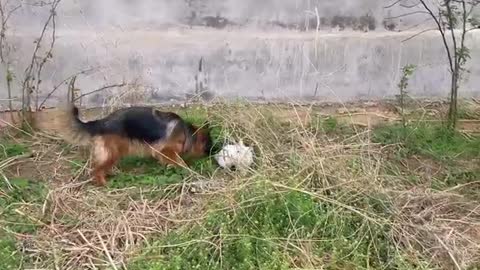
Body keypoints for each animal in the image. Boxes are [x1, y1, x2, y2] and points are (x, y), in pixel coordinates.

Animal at [58, 103, 214, 186]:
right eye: (209, 144)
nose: (213, 152)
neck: (187, 132)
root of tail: (101, 122)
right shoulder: (165, 150)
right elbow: (179, 161)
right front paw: (187, 170)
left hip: (117, 150)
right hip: (112, 151)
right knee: (95, 170)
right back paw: (103, 183)